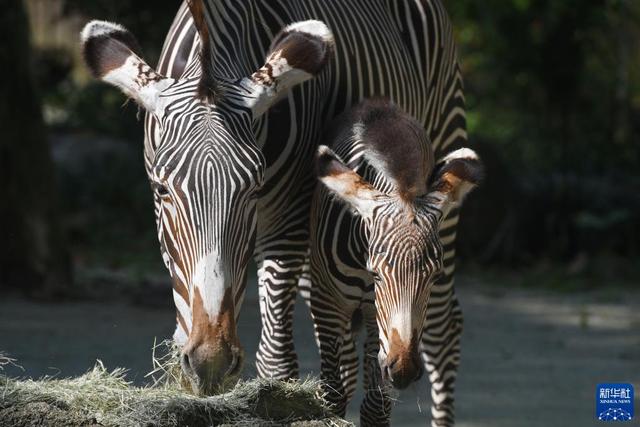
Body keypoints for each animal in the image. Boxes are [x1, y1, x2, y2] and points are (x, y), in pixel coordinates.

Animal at [308, 99, 482, 424]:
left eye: (434, 276)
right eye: (376, 274)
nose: (403, 370)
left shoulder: (379, 322)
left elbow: (376, 409)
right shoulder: (325, 301)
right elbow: (332, 395)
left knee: (445, 336)